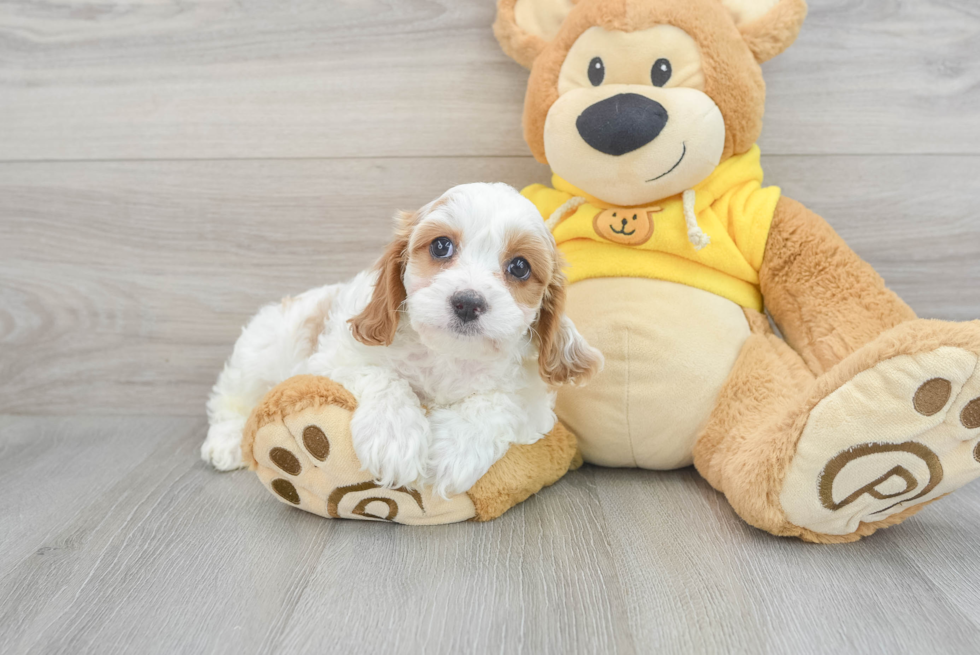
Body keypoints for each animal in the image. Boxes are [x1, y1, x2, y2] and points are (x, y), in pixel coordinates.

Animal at [202, 182, 600, 494]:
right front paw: (393, 437)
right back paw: (225, 442)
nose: (468, 302)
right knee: (231, 398)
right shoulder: (333, 360)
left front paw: (453, 449)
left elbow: (500, 403)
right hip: (261, 351)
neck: (447, 355)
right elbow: (383, 375)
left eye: (519, 267)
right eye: (441, 246)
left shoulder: (532, 405)